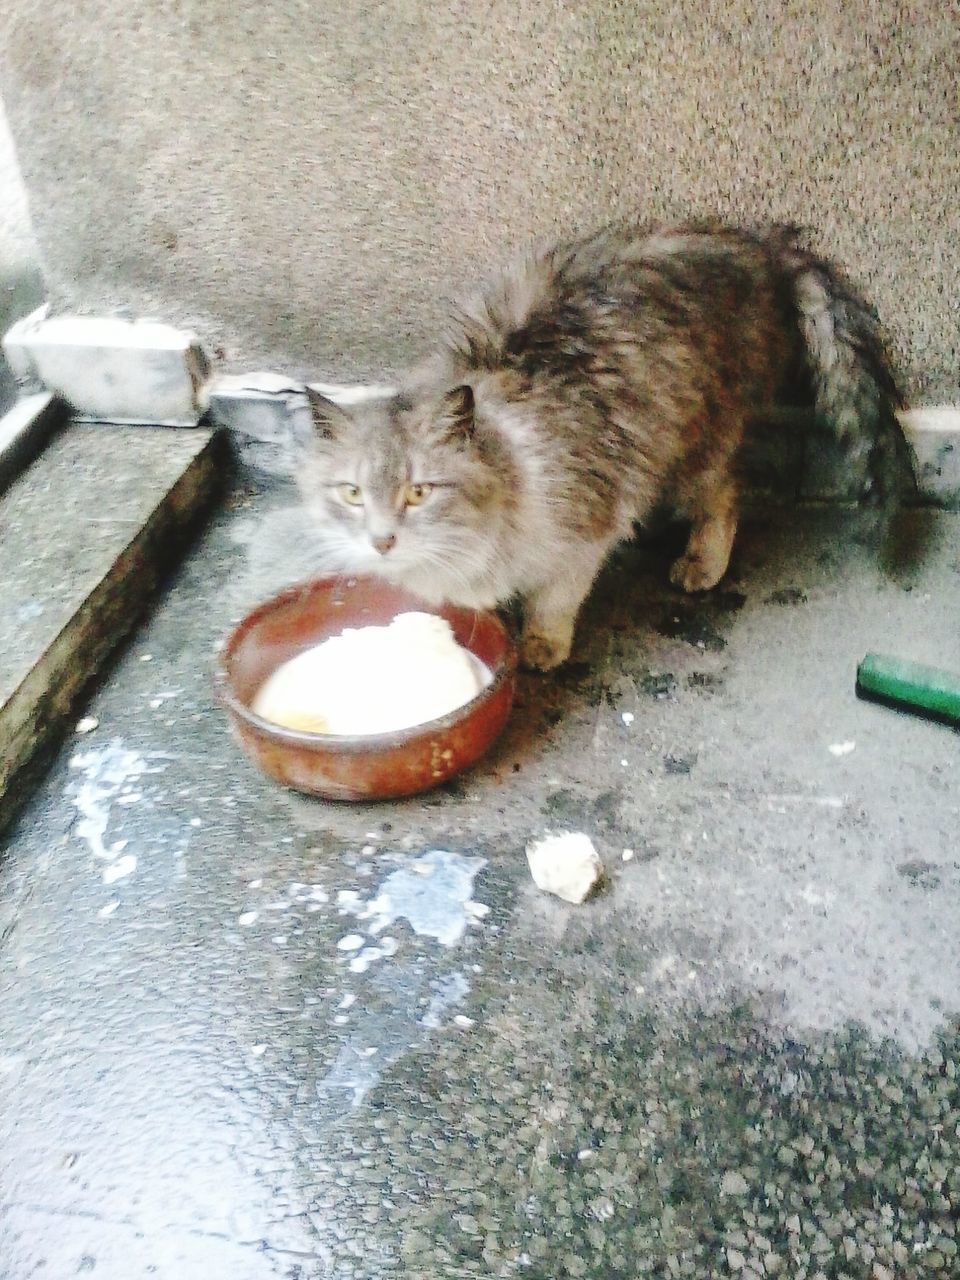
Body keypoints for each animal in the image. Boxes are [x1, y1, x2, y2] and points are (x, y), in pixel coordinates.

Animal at [296, 221, 911, 670]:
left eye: (419, 492)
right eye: (352, 493)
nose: (382, 541)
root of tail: (759, 246)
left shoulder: (584, 528)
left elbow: (556, 599)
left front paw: (541, 646)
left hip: (696, 442)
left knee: (726, 497)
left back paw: (701, 563)